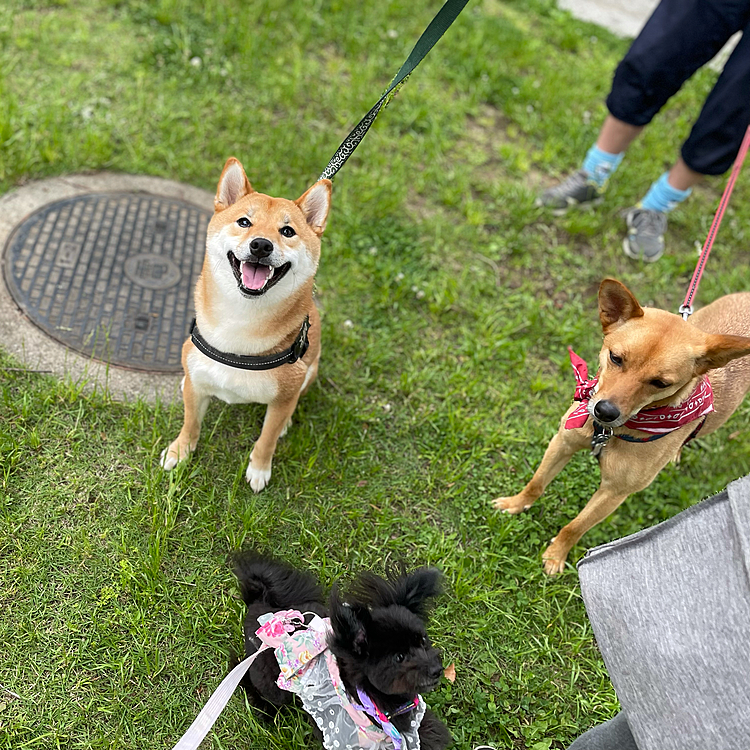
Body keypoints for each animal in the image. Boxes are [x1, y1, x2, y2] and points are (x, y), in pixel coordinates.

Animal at [162, 159, 332, 494]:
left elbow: (266, 439)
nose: (261, 245)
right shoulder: (197, 385)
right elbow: (191, 423)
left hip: (310, 370)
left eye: (287, 231)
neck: (241, 321)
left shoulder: (282, 397)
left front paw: (260, 469)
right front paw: (180, 451)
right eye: (244, 222)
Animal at [235, 556, 452, 748]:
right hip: (270, 683)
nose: (436, 670)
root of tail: (260, 603)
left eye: (423, 641)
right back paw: (263, 709)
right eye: (399, 657)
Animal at [494, 280, 750, 580]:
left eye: (661, 383)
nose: (604, 411)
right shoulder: (562, 443)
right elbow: (536, 484)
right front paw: (515, 504)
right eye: (615, 358)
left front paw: (556, 556)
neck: (608, 432)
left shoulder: (614, 492)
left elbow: (575, 527)